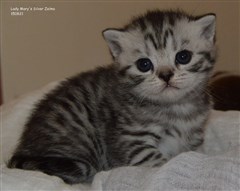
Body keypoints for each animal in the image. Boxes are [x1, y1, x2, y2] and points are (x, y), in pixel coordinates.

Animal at [8, 10, 217, 184]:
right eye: (144, 64)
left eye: (183, 57)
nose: (166, 75)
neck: (176, 108)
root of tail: (22, 149)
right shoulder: (130, 141)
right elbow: (159, 162)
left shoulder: (194, 138)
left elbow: (193, 155)